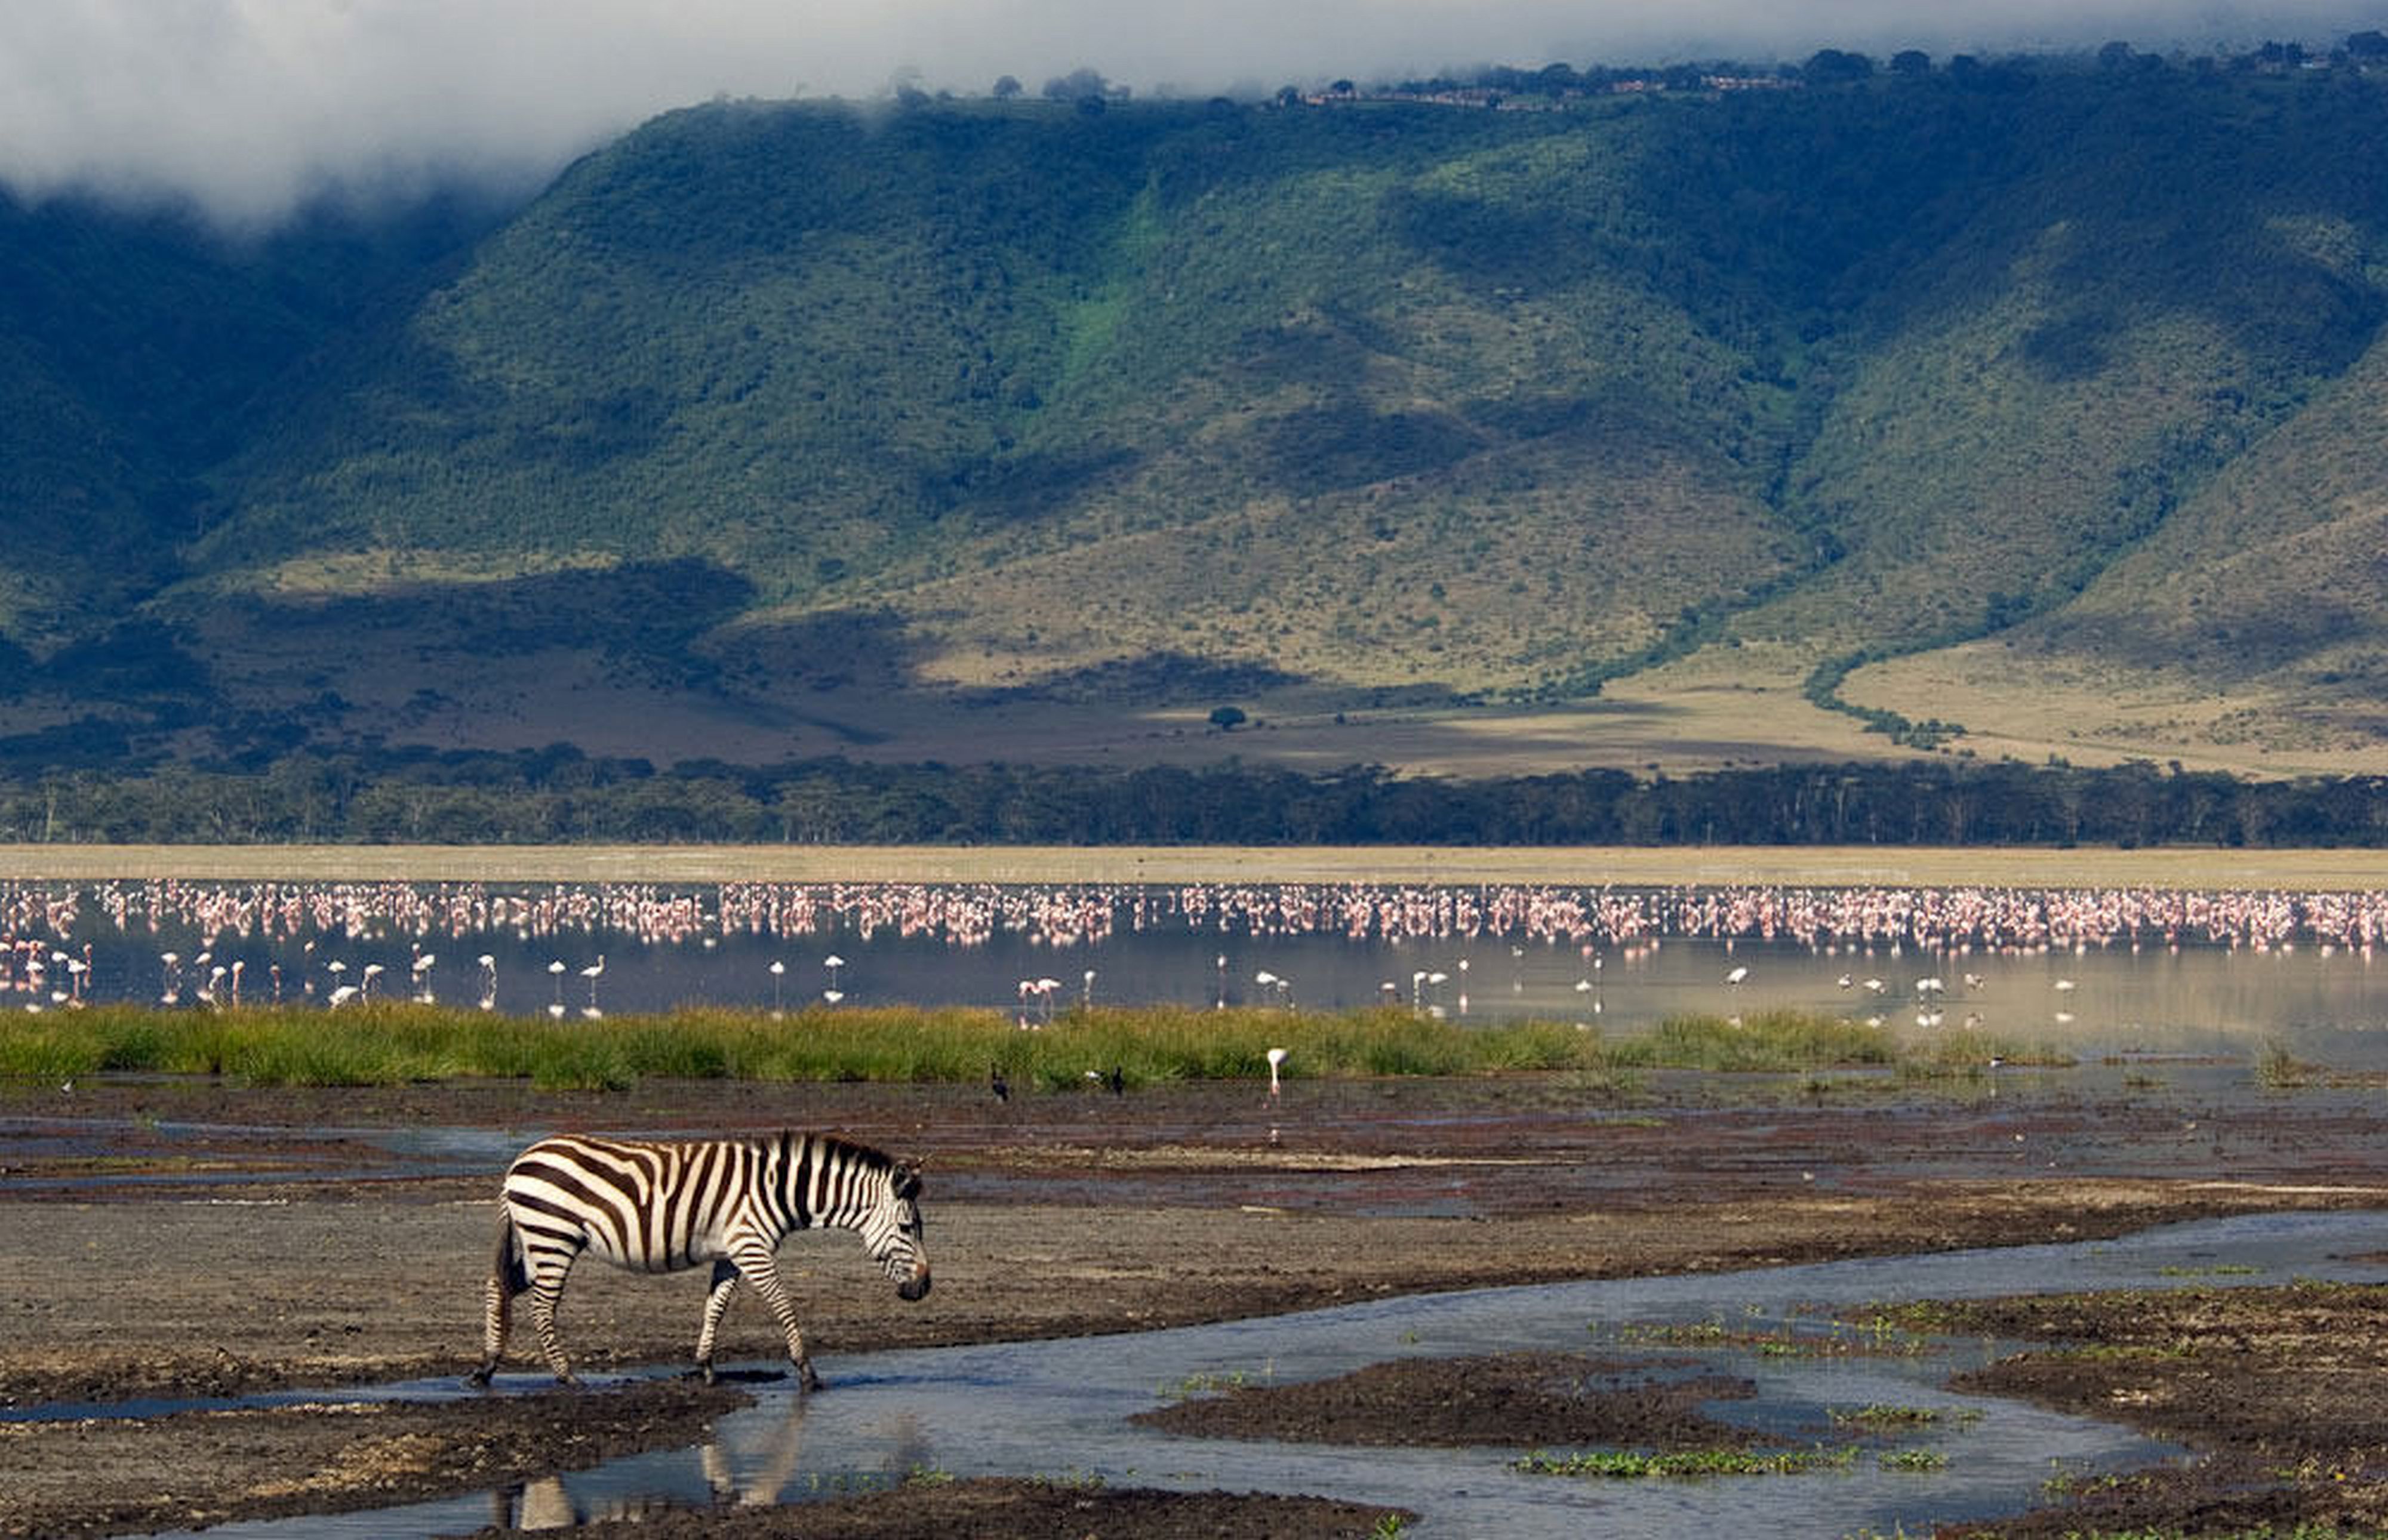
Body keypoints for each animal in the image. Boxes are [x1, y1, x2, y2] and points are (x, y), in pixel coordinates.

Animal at [461, 1122, 927, 1385]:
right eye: (908, 1228)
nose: (924, 1288)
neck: (777, 1190)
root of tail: (520, 1160)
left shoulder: (731, 1253)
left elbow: (715, 1308)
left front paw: (704, 1367)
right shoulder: (752, 1247)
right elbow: (784, 1306)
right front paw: (807, 1371)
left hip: (538, 1238)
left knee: (497, 1288)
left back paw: (487, 1367)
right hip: (552, 1237)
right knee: (541, 1307)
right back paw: (565, 1375)